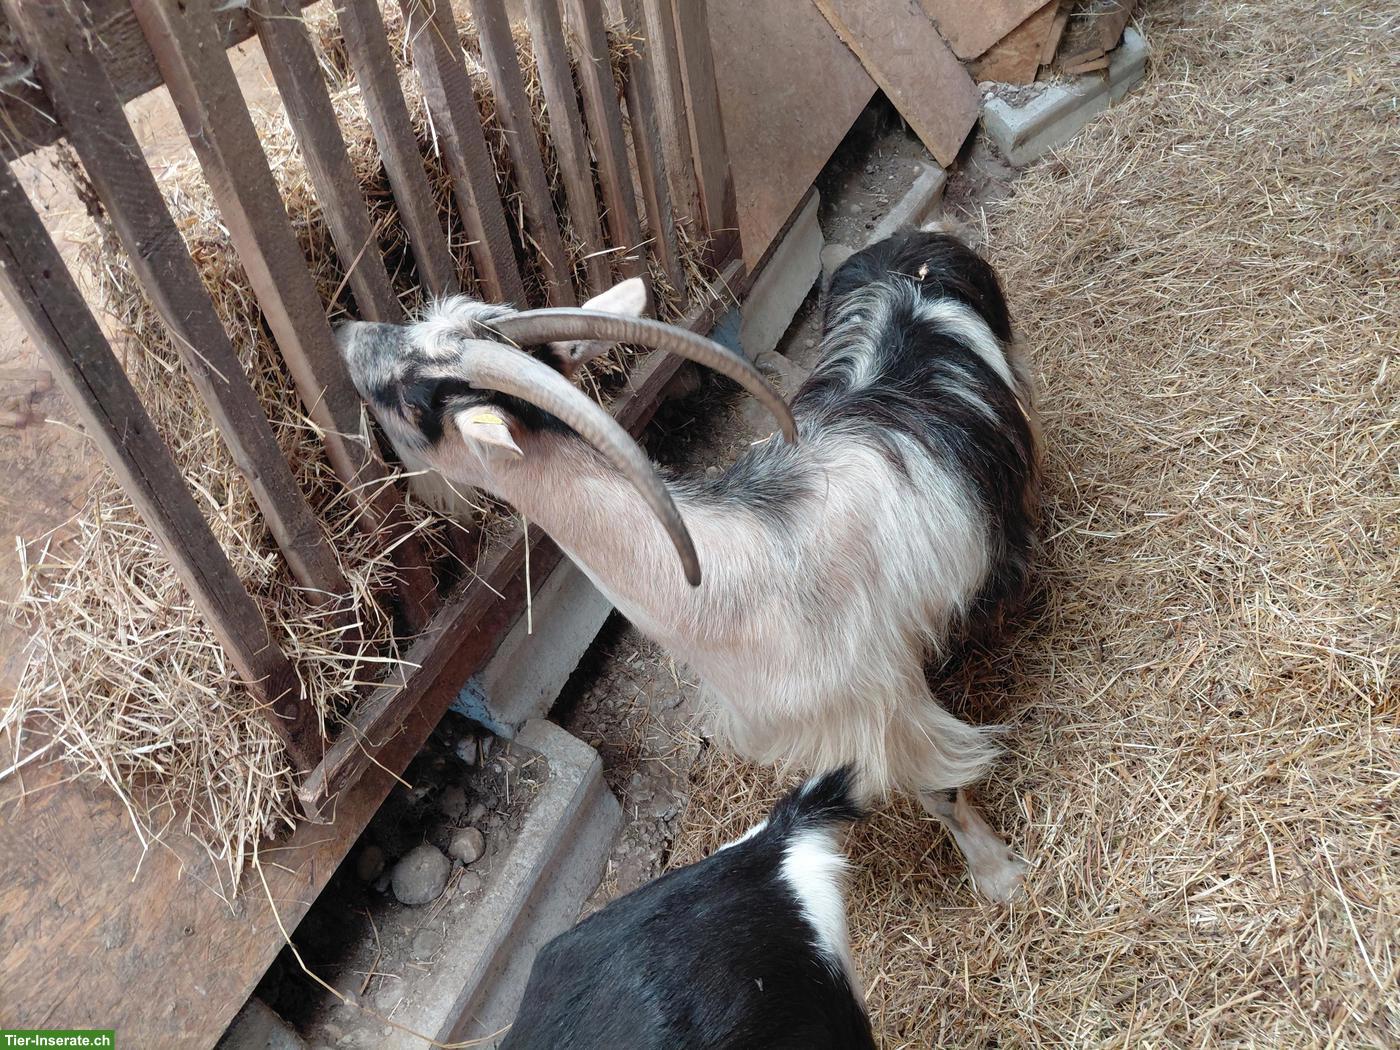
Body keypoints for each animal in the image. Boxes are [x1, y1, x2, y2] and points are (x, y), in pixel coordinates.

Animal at [336, 229, 1039, 899]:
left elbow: (940, 789)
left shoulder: (886, 704)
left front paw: (1000, 877)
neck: (733, 582)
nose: (347, 333)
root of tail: (908, 250)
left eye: (413, 396)